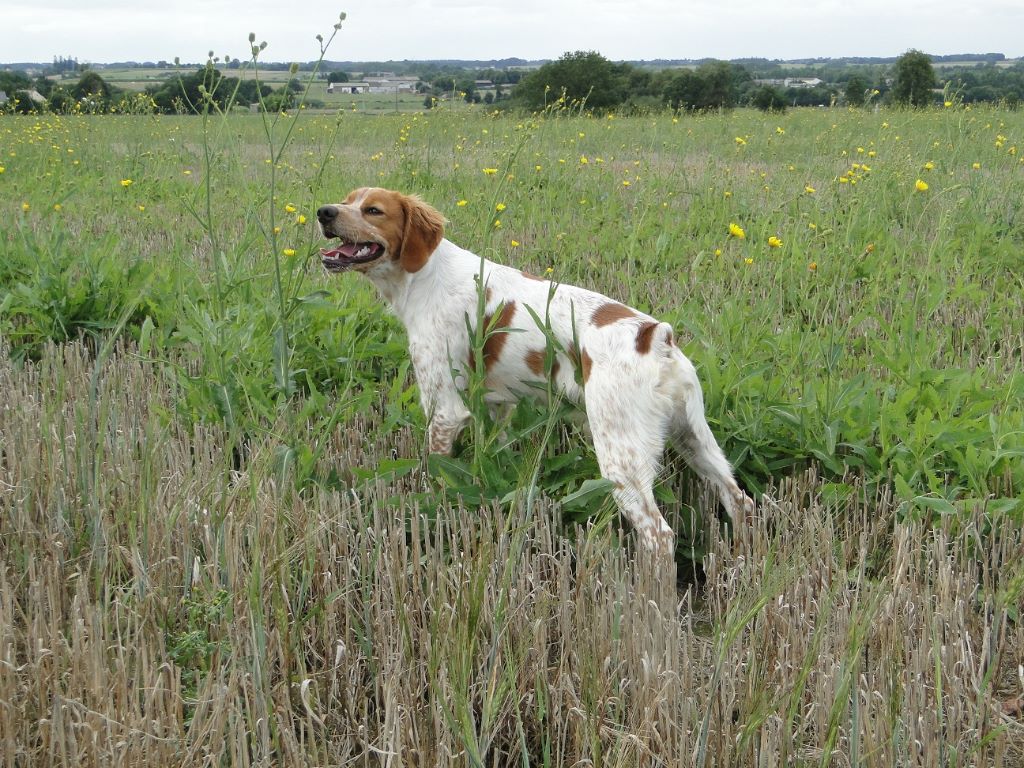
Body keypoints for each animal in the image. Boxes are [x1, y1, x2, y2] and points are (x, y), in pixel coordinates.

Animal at [315, 189, 757, 557]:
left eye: (373, 210)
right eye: (347, 199)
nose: (324, 211)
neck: (424, 275)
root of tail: (654, 336)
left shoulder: (444, 409)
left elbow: (435, 476)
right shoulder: (498, 405)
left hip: (622, 457)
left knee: (659, 535)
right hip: (694, 437)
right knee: (740, 500)